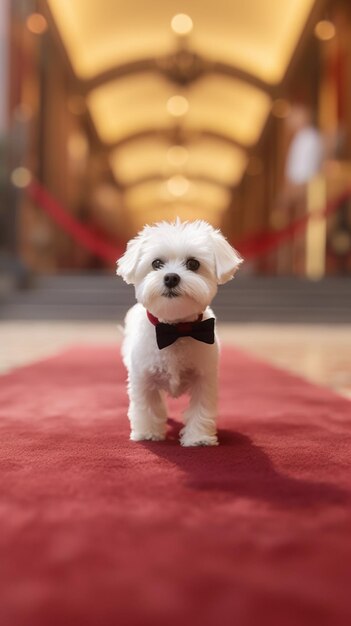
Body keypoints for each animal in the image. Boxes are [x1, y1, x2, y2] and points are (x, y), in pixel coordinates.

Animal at [117, 219, 243, 444]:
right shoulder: (143, 378)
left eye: (193, 264)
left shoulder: (205, 377)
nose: (171, 278)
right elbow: (146, 406)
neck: (177, 329)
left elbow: (201, 408)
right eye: (156, 263)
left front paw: (198, 438)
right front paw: (148, 433)